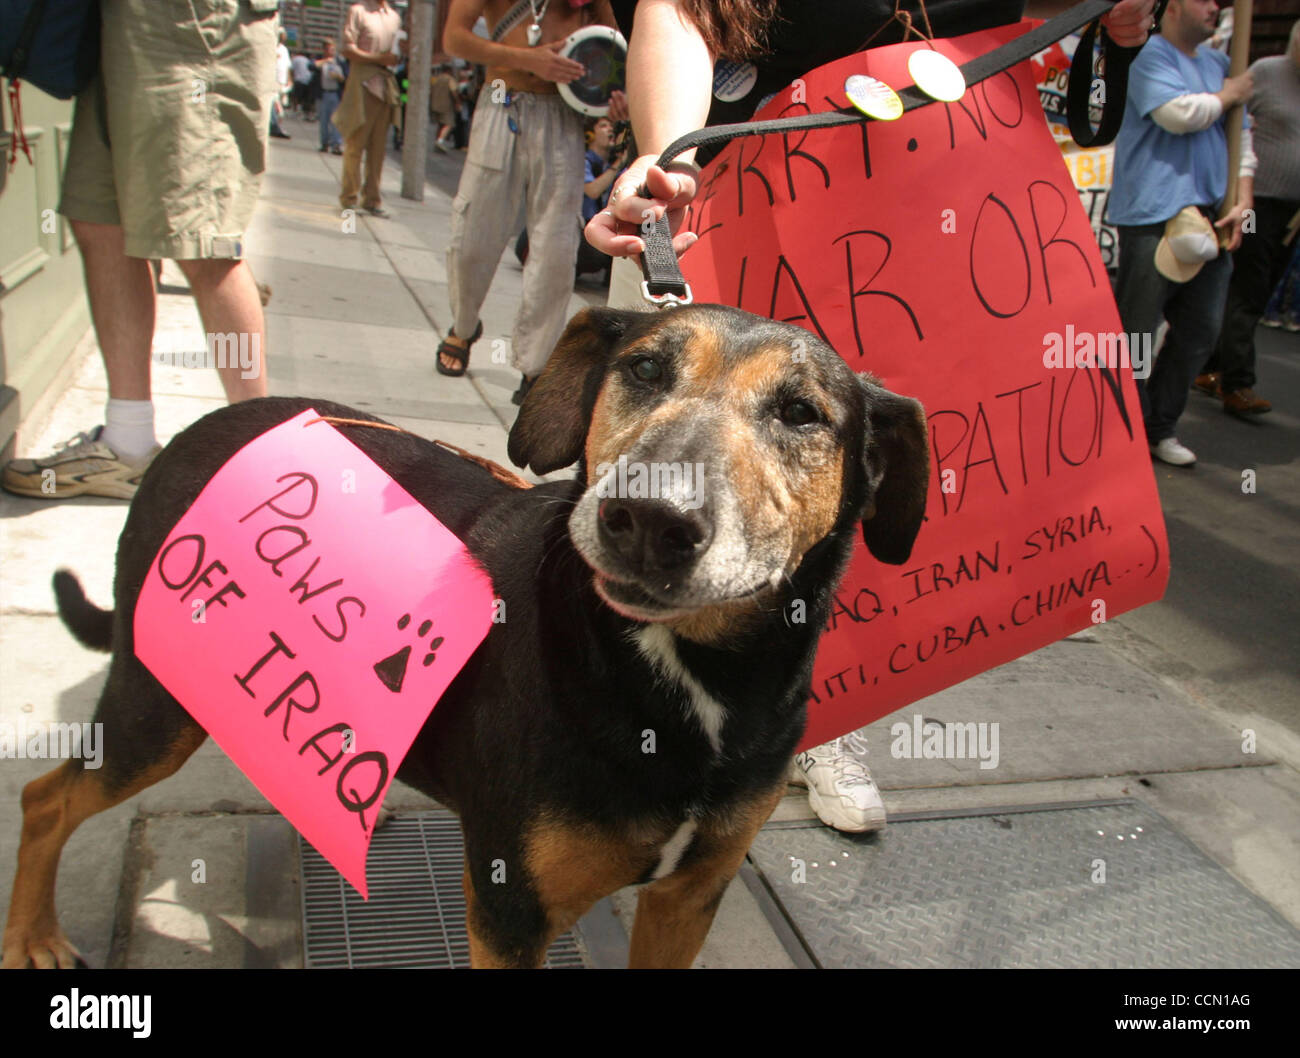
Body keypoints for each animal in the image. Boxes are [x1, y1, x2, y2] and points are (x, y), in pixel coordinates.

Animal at [5, 304, 930, 967]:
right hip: (155, 709)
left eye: (802, 413)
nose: (648, 519)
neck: (685, 676)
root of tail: (187, 436)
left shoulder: (689, 897)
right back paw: (33, 938)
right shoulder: (509, 910)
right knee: (45, 797)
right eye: (643, 368)